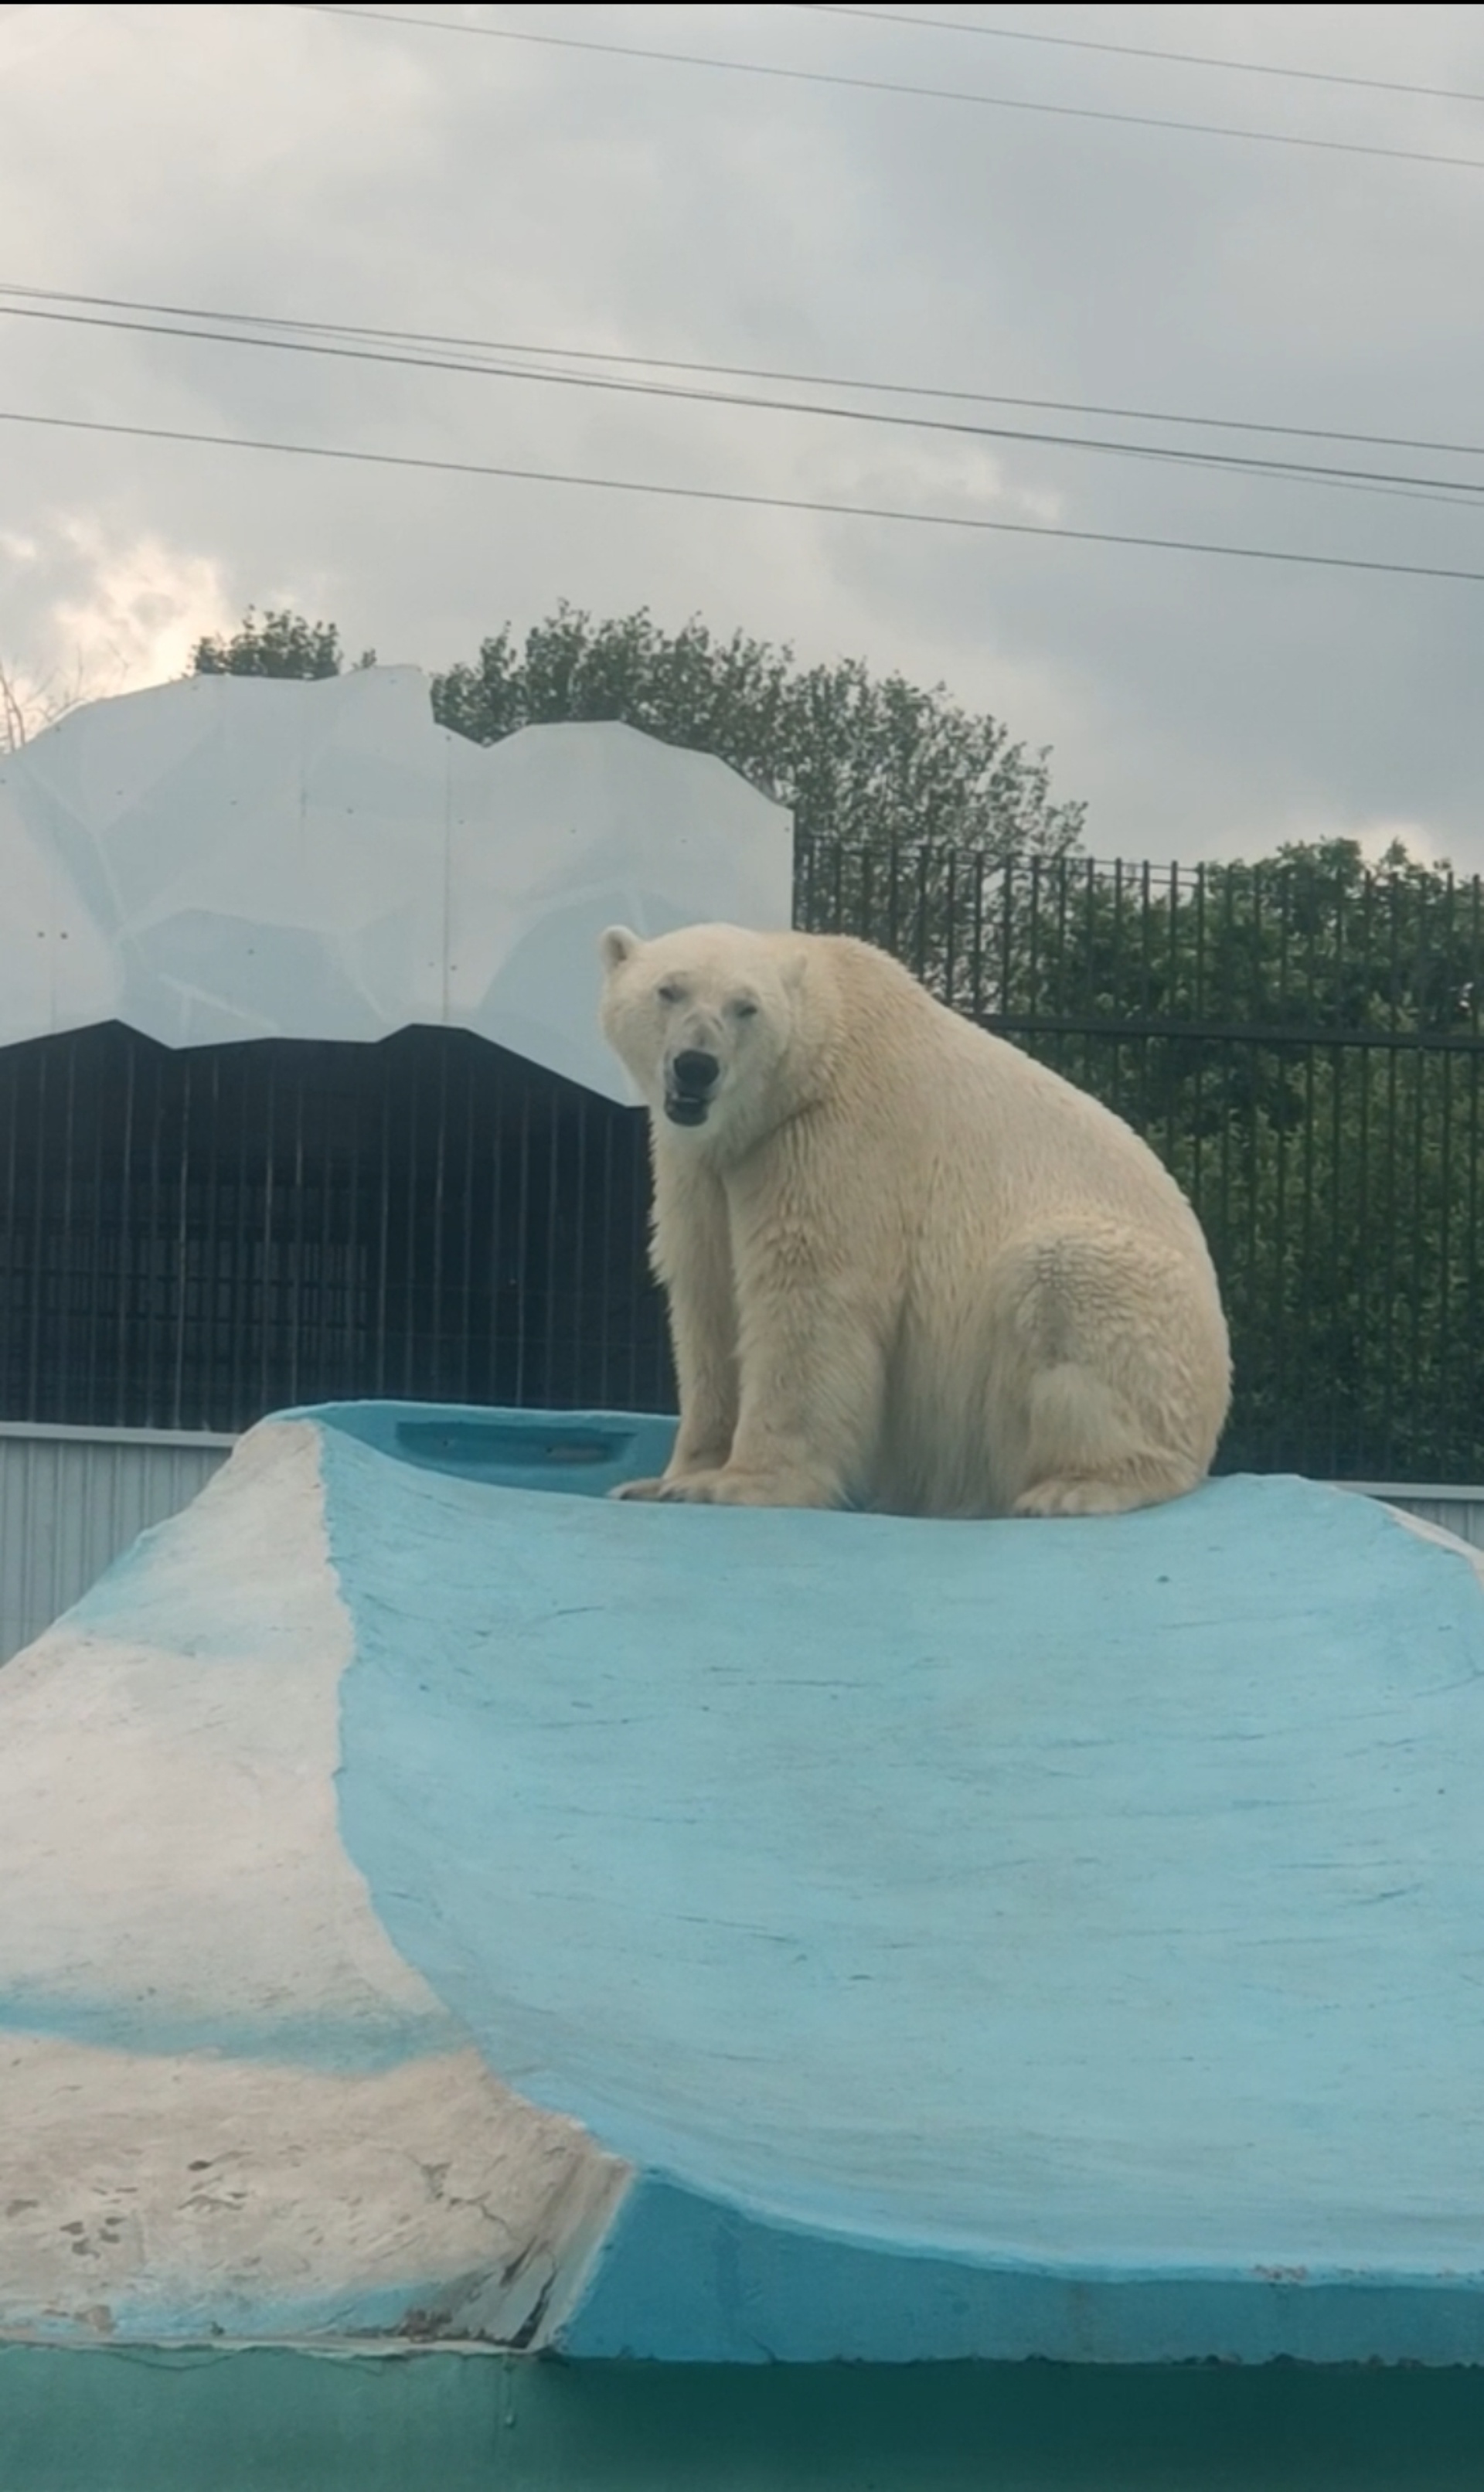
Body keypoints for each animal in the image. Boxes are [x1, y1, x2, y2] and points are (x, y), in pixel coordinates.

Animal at [600, 921, 1230, 1515]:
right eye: (669, 990)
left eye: (745, 1007)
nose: (696, 1066)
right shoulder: (703, 1167)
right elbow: (707, 1299)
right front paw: (664, 1480)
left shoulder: (834, 1139)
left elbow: (810, 1295)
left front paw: (738, 1483)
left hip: (1144, 1319)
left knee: (1061, 1275)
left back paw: (1079, 1487)